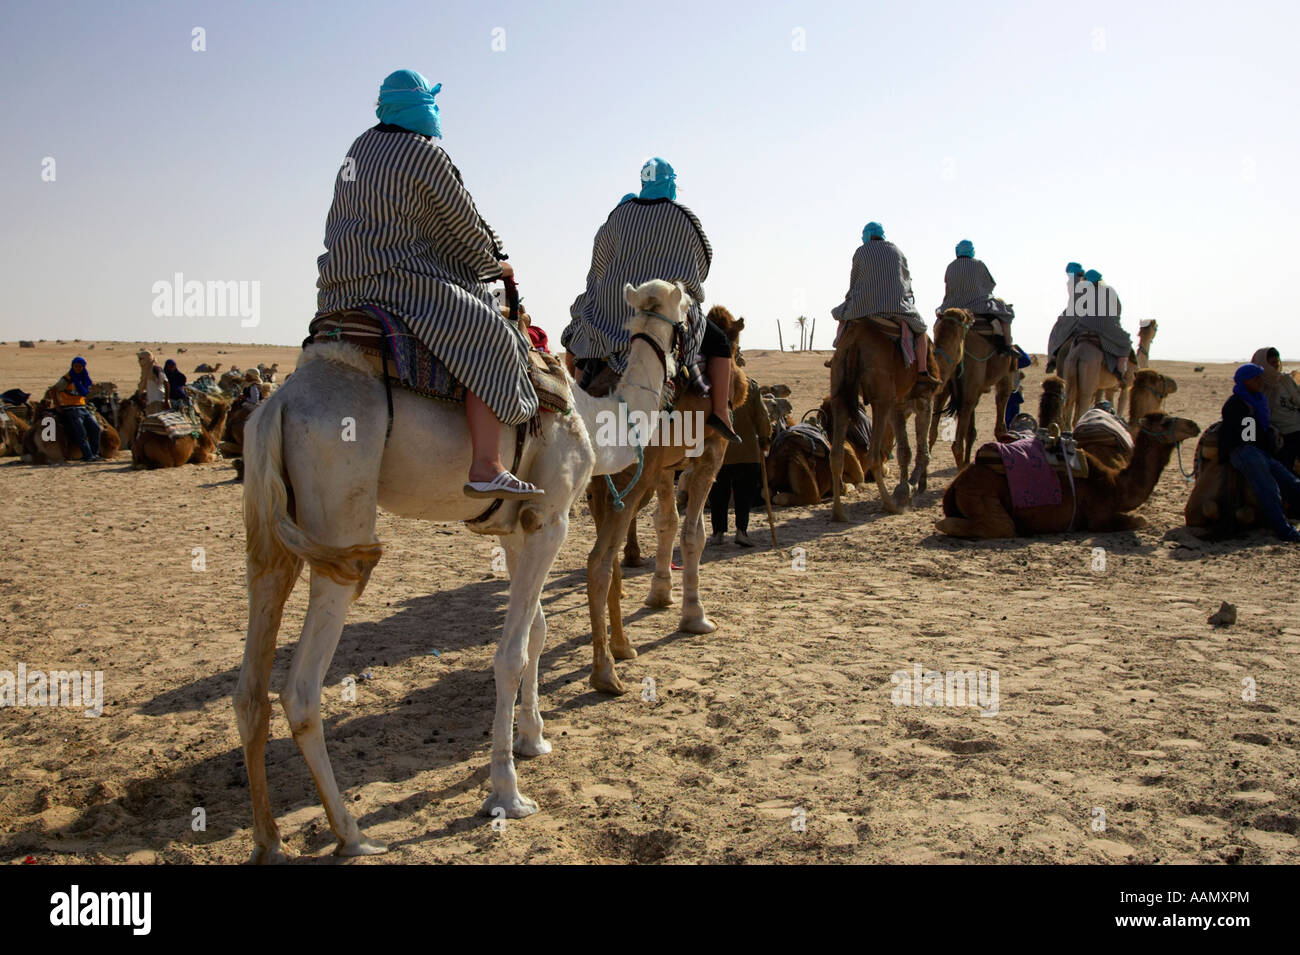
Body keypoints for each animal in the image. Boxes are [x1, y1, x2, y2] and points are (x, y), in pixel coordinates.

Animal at [234, 279, 684, 863]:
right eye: (689, 307)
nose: (687, 369)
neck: (590, 415)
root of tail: (278, 403)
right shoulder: (553, 517)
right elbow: (510, 654)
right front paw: (507, 794)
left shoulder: (518, 526)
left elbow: (537, 633)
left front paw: (533, 738)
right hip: (340, 519)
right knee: (301, 690)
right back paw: (352, 834)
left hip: (274, 533)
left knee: (251, 682)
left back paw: (269, 841)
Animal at [583, 305, 747, 694]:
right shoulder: (711, 452)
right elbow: (693, 535)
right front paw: (695, 616)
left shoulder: (664, 468)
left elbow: (666, 524)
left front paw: (660, 594)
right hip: (627, 481)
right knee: (598, 560)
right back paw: (605, 673)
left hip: (603, 487)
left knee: (608, 557)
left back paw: (622, 646)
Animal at [830, 319, 938, 519]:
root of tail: (854, 343)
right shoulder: (924, 398)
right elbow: (922, 451)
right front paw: (911, 488)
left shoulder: (899, 405)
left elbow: (905, 451)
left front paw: (907, 488)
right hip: (881, 397)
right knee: (873, 455)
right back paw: (890, 505)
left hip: (838, 389)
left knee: (835, 455)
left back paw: (838, 514)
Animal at [934, 321, 1017, 469]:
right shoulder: (1006, 375)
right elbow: (1002, 400)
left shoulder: (974, 390)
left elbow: (971, 431)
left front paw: (969, 461)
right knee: (956, 445)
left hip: (946, 384)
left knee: (932, 432)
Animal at [935, 412, 1200, 538]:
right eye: (1164, 421)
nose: (1194, 425)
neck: (1115, 485)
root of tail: (955, 484)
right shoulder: (1098, 518)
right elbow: (1141, 520)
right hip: (983, 497)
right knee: (995, 526)